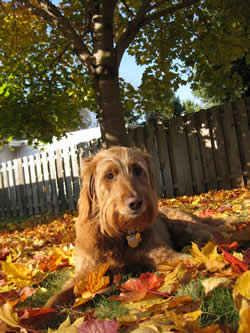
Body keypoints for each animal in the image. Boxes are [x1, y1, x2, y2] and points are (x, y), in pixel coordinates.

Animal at [45, 147, 221, 308]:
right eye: (109, 175)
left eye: (137, 170)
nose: (136, 203)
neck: (119, 234)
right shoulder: (86, 272)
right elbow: (57, 297)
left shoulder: (163, 254)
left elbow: (190, 260)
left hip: (183, 225)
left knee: (214, 232)